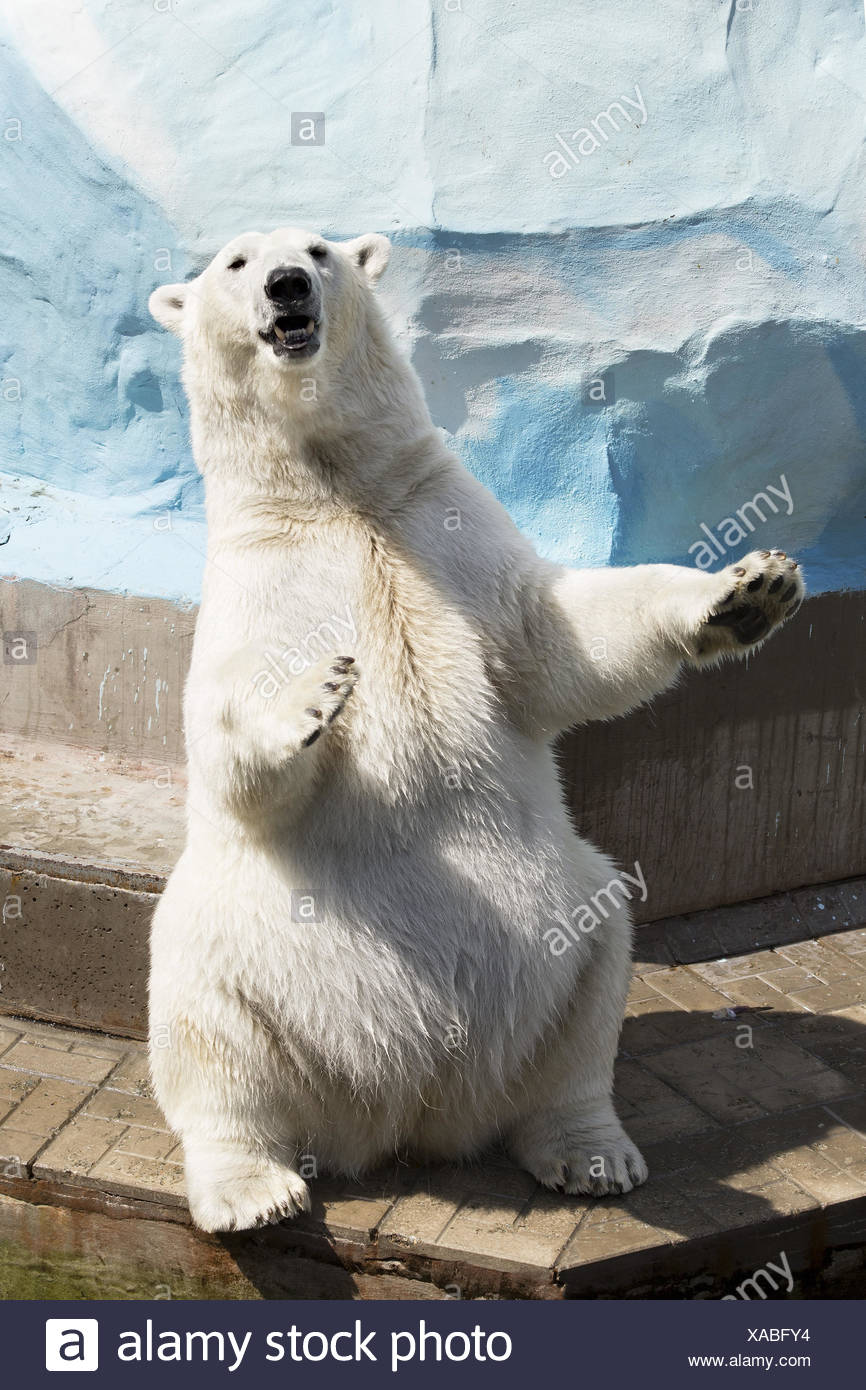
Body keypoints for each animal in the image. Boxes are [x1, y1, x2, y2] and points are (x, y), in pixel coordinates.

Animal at [148, 226, 804, 1232]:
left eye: (318, 249)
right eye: (235, 263)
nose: (288, 285)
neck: (332, 490)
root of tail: (405, 1112)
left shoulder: (445, 527)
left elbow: (556, 638)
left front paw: (748, 589)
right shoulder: (254, 586)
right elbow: (226, 754)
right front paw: (314, 693)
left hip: (564, 928)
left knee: (594, 986)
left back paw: (591, 1153)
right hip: (240, 954)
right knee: (208, 1038)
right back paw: (254, 1190)